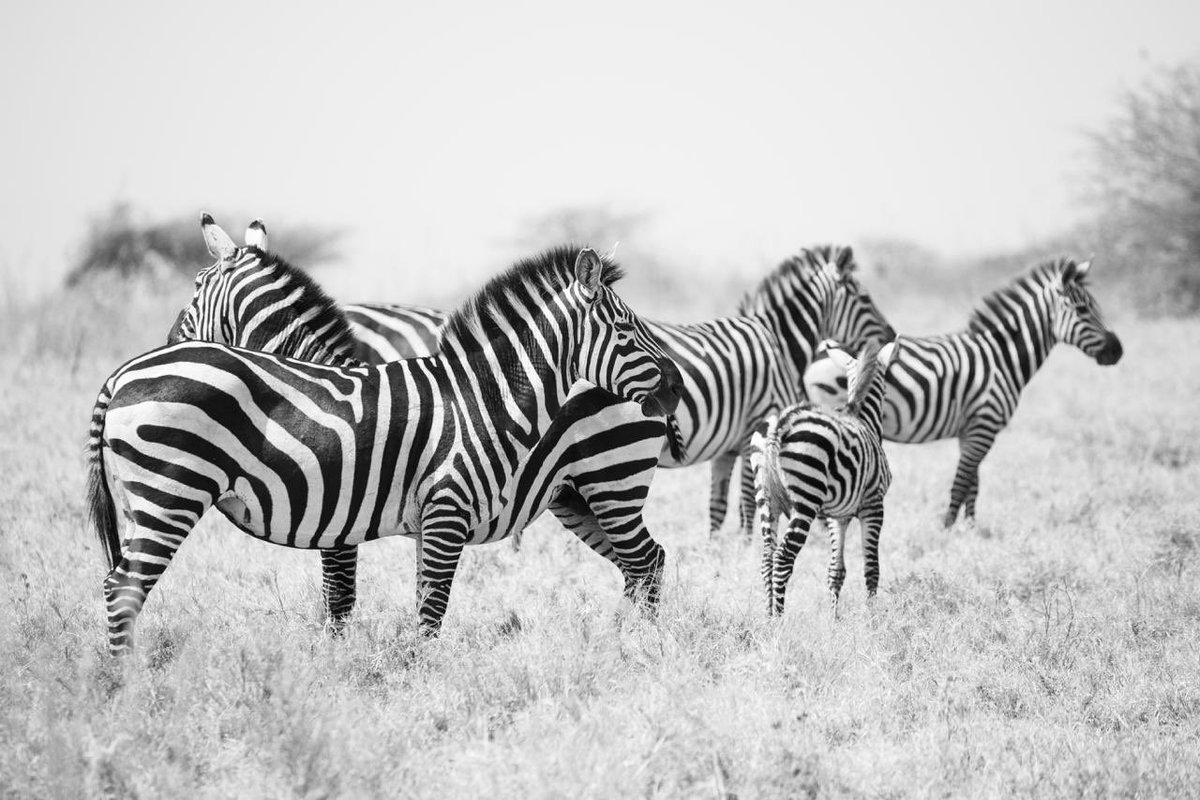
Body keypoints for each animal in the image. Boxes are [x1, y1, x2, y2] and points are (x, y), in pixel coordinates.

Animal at [87, 240, 682, 653]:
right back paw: (126, 685)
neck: (479, 398)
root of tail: (123, 373)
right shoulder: (436, 513)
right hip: (169, 494)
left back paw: (636, 646)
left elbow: (400, 605)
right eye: (625, 332)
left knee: (645, 563)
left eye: (194, 289)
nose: (674, 387)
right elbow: (407, 607)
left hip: (602, 488)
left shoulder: (422, 518)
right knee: (123, 588)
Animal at [342, 245, 894, 539]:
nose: (891, 334)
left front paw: (719, 546)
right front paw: (740, 543)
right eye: (865, 298)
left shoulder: (729, 444)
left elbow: (718, 506)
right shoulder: (757, 423)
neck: (774, 338)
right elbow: (742, 501)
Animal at [751, 339, 899, 616]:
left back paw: (767, 615)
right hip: (806, 498)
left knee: (766, 557)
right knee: (783, 557)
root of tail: (781, 422)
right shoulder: (874, 504)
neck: (861, 415)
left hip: (766, 498)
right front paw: (872, 616)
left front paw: (834, 618)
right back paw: (779, 618)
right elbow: (872, 567)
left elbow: (835, 571)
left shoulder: (837, 516)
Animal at [802, 257, 1123, 527]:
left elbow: (973, 485)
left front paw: (970, 529)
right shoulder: (985, 424)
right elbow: (961, 483)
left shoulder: (971, 430)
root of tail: (819, 349)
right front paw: (947, 530)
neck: (1001, 357)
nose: (1117, 350)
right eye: (1083, 310)